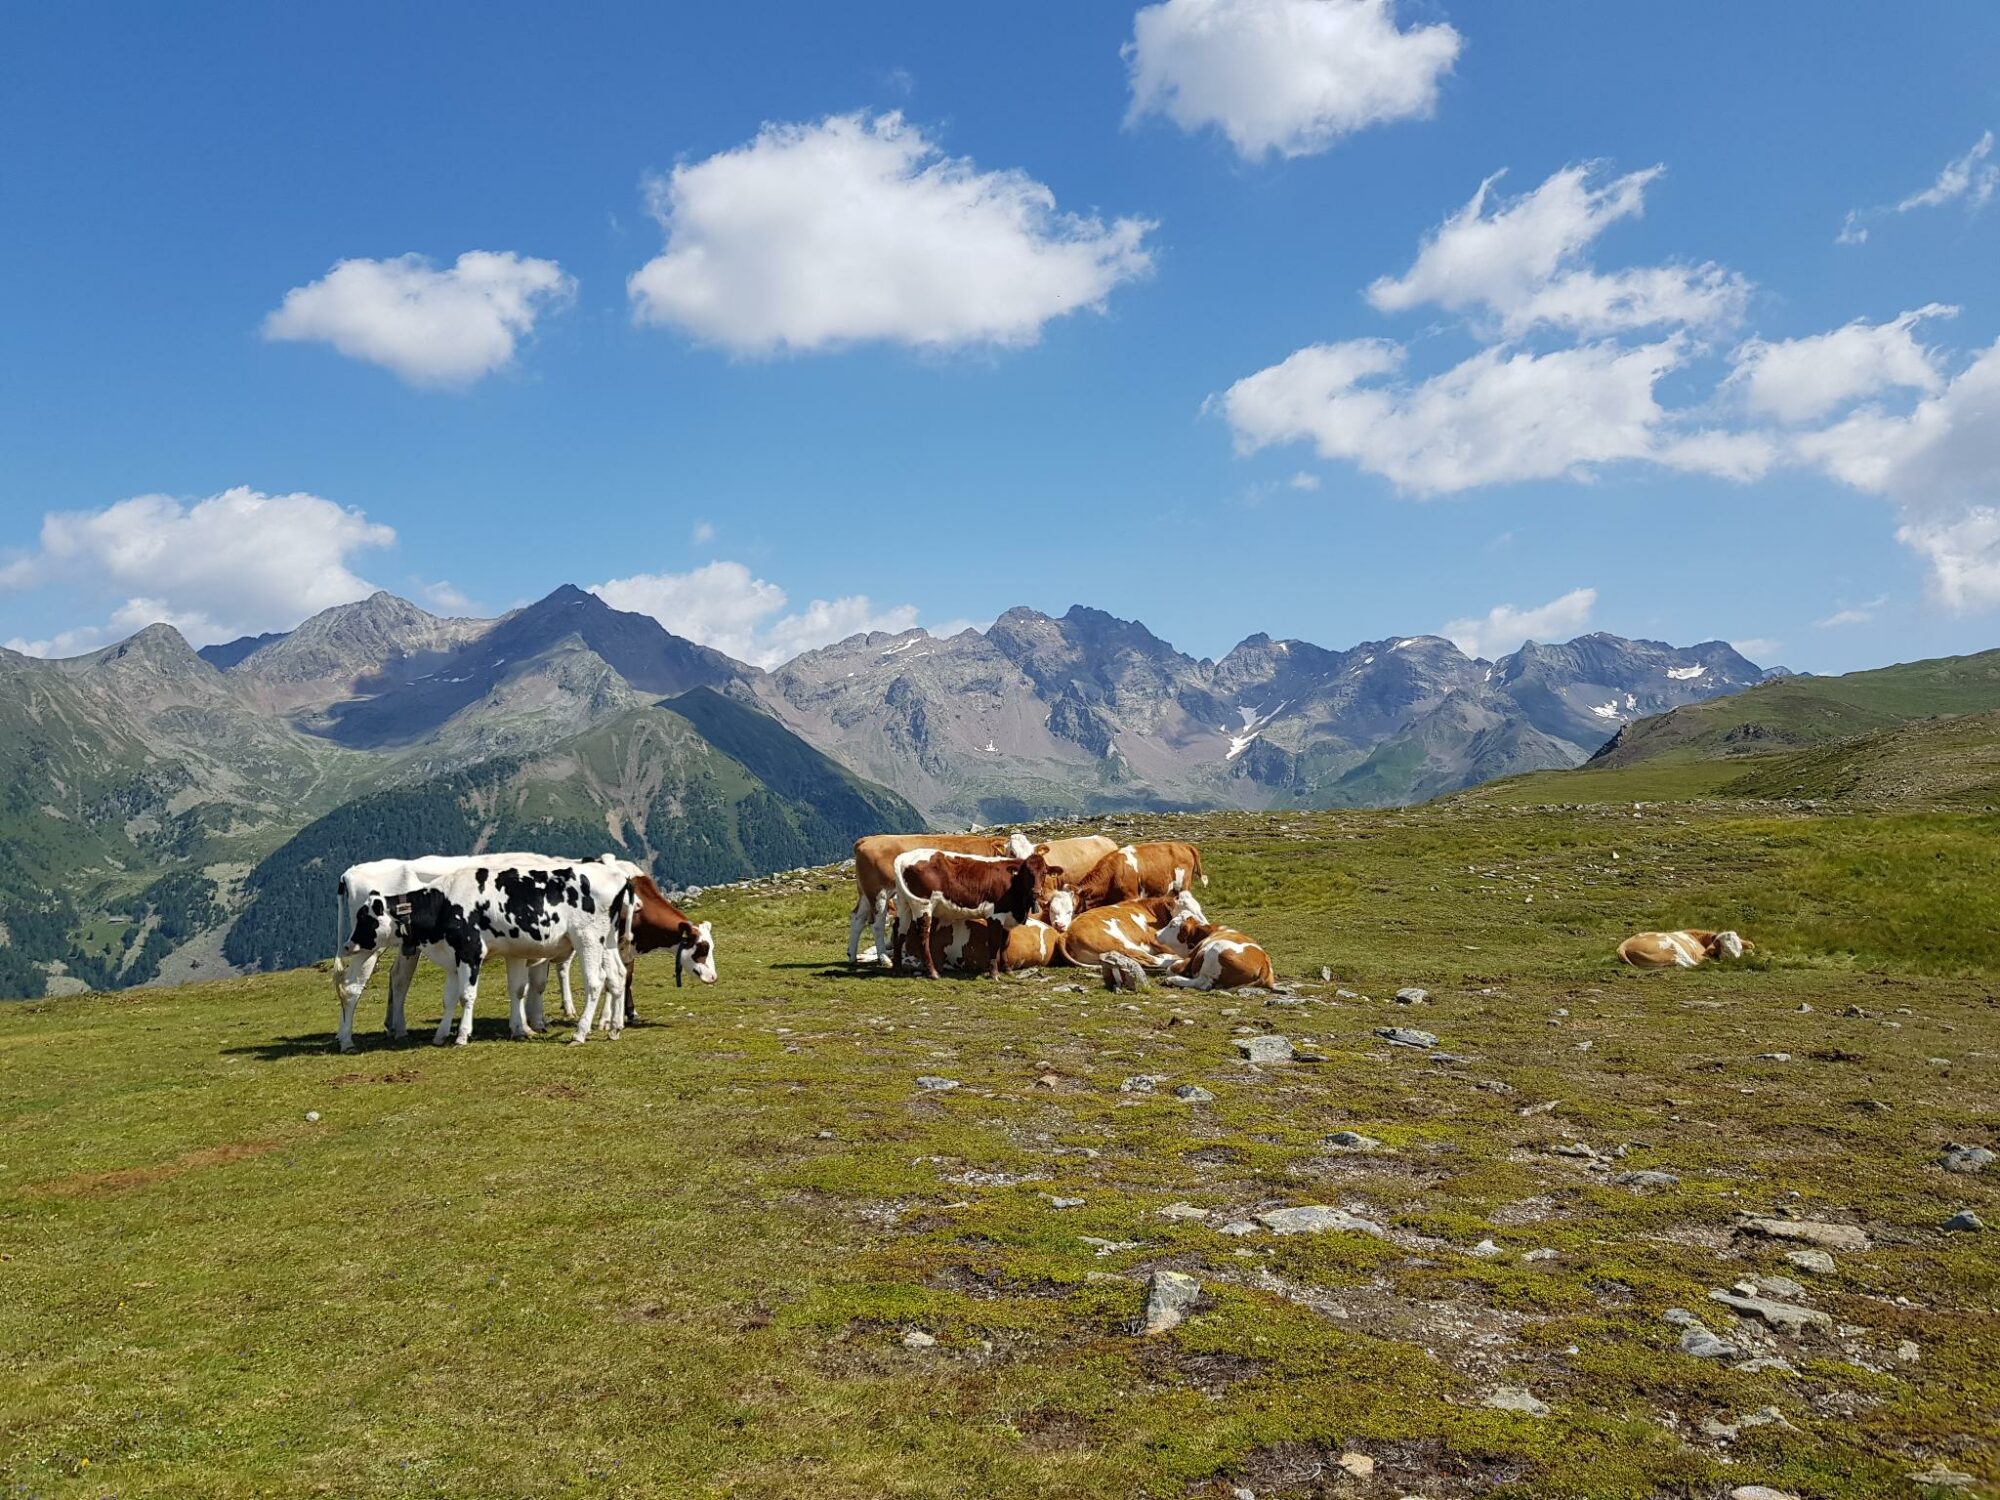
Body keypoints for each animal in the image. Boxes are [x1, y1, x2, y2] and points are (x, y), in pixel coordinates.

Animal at [848, 828, 1032, 968]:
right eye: (1013, 852)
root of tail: (867, 840)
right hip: (879, 893)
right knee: (876, 924)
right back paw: (884, 958)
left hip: (865, 893)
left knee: (857, 918)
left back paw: (852, 956)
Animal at [1608, 928, 1752, 976]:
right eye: (1724, 949)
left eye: (1740, 948)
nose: (1737, 962)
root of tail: (1623, 945)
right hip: (1673, 948)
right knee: (1691, 964)